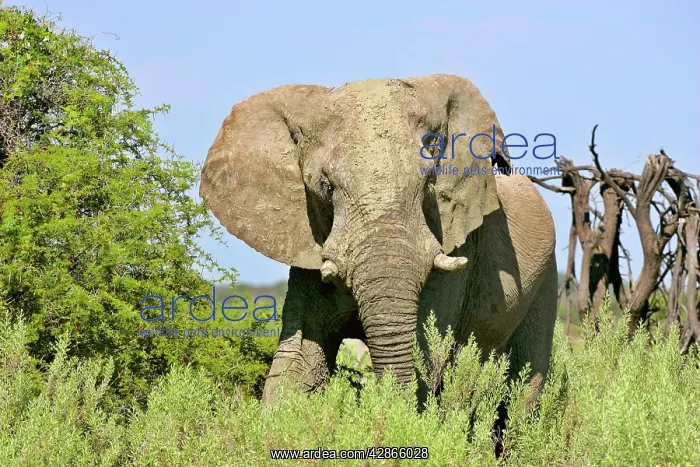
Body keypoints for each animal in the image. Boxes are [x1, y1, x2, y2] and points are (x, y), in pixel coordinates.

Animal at [199, 74, 558, 407]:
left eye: (429, 183)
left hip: (545, 282)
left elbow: (426, 352)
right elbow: (298, 363)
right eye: (325, 187)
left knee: (521, 392)